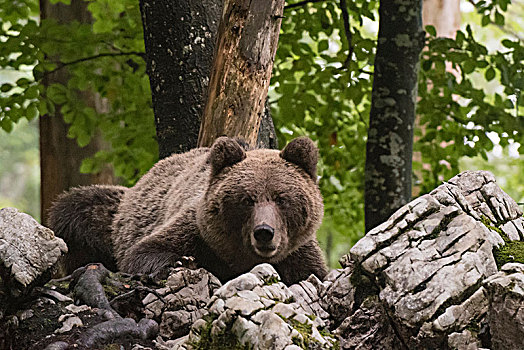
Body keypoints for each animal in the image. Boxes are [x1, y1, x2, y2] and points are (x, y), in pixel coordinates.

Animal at [49, 135, 328, 286]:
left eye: (281, 198)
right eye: (247, 199)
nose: (264, 232)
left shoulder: (298, 252)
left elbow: (311, 272)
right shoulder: (196, 230)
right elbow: (144, 252)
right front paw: (184, 263)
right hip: (111, 216)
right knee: (72, 213)